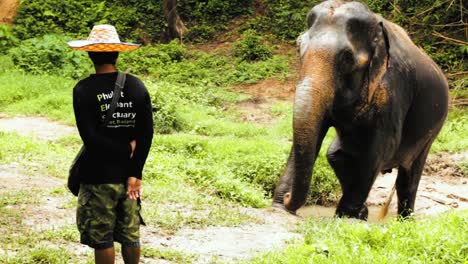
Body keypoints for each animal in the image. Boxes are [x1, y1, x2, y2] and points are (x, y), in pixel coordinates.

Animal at [274, 0, 450, 221]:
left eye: (347, 58)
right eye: (299, 47)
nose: (288, 197)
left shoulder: (392, 90)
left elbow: (380, 149)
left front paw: (346, 216)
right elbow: (318, 136)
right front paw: (279, 207)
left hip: (432, 131)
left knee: (408, 176)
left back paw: (404, 220)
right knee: (336, 155)